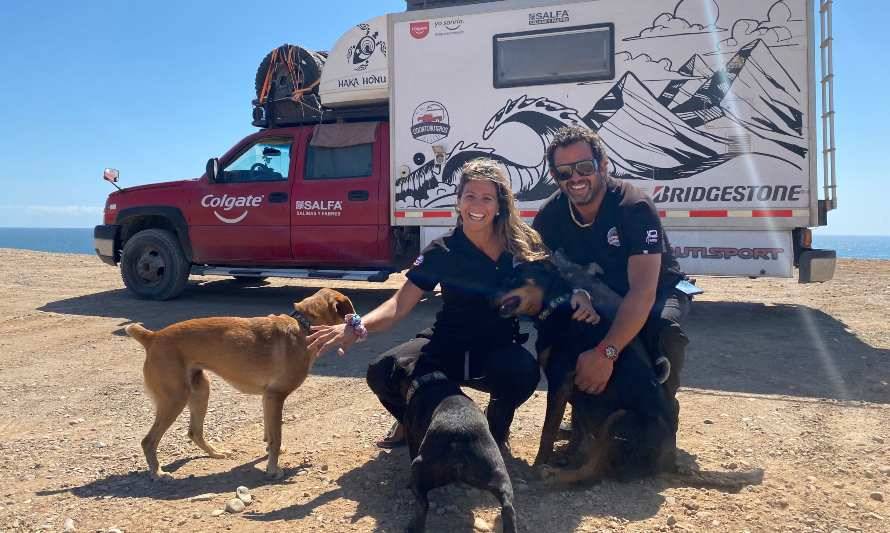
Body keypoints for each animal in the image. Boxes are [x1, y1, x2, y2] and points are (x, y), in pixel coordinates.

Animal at [125, 288, 354, 480]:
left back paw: (216, 453)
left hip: (200, 391)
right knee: (148, 441)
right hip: (175, 399)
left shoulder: (267, 398)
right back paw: (158, 472)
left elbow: (270, 434)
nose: (356, 322)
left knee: (194, 432)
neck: (303, 326)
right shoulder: (275, 396)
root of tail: (153, 336)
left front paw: (271, 454)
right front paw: (273, 469)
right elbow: (276, 437)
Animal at [394, 364, 512, 532]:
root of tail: (459, 435)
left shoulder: (411, 436)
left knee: (423, 504)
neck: (431, 379)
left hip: (418, 466)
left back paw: (413, 525)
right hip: (498, 473)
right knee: (507, 507)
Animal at [496, 260, 760, 488]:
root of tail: (669, 463)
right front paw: (567, 454)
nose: (489, 296)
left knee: (594, 472)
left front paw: (539, 463)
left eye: (515, 276)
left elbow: (548, 430)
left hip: (621, 418)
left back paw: (552, 475)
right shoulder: (577, 388)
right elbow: (577, 428)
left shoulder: (561, 380)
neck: (556, 305)